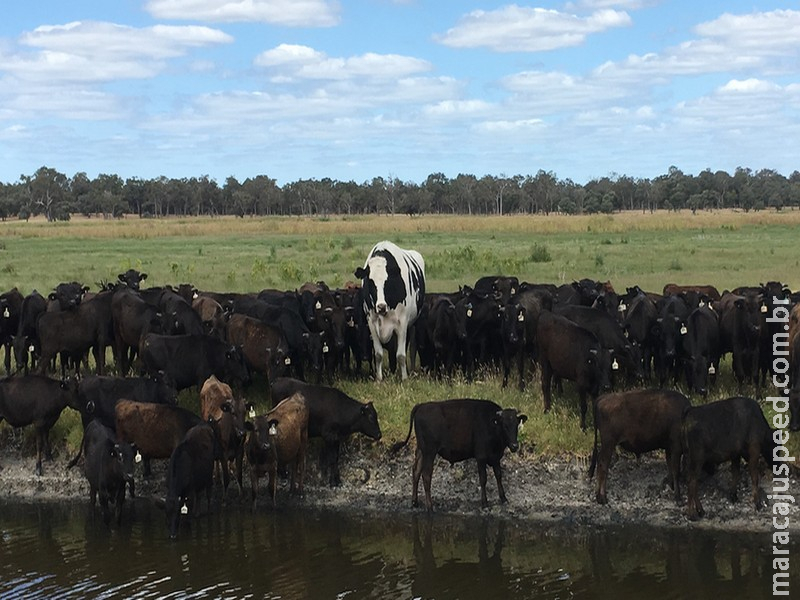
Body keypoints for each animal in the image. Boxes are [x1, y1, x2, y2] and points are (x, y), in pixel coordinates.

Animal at [392, 398, 528, 510]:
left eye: (516, 425)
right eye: (504, 425)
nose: (514, 446)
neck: (491, 425)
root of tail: (421, 405)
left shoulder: (495, 458)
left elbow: (499, 476)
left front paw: (503, 498)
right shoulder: (481, 457)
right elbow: (483, 479)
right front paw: (484, 503)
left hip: (421, 450)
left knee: (416, 471)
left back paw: (414, 502)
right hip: (429, 452)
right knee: (426, 475)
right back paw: (430, 507)